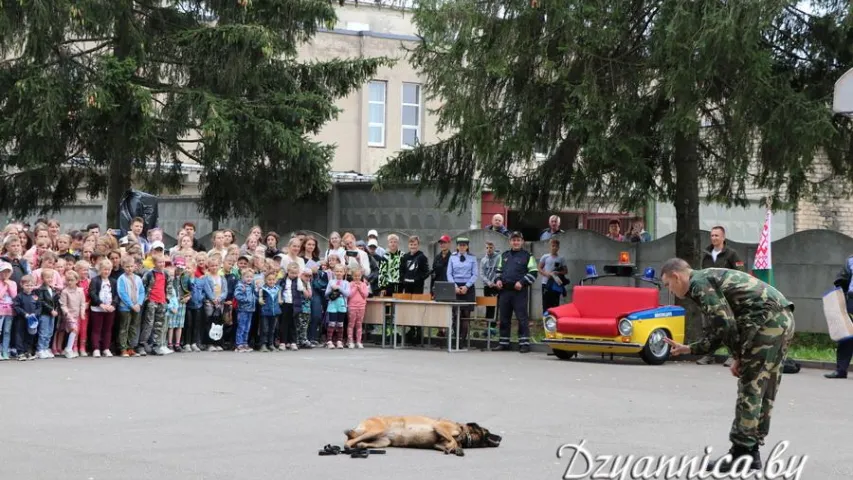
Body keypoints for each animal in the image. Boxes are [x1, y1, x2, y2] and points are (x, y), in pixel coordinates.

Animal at [342, 414, 500, 456]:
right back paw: (349, 445)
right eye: (488, 431)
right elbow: (453, 440)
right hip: (377, 429)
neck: (462, 432)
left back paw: (361, 446)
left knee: (359, 441)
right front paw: (454, 447)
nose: (501, 437)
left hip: (383, 441)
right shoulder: (439, 427)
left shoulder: (438, 443)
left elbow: (449, 444)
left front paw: (454, 449)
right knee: (349, 440)